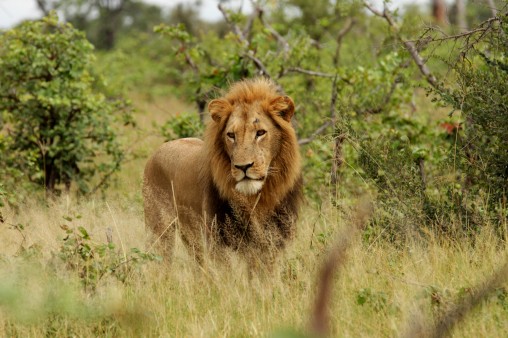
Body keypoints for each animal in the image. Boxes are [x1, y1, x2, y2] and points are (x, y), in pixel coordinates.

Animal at [143, 77, 302, 270]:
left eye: (261, 132)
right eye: (231, 135)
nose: (243, 166)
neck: (256, 200)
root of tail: (159, 149)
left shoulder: (272, 244)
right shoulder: (219, 245)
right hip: (160, 231)